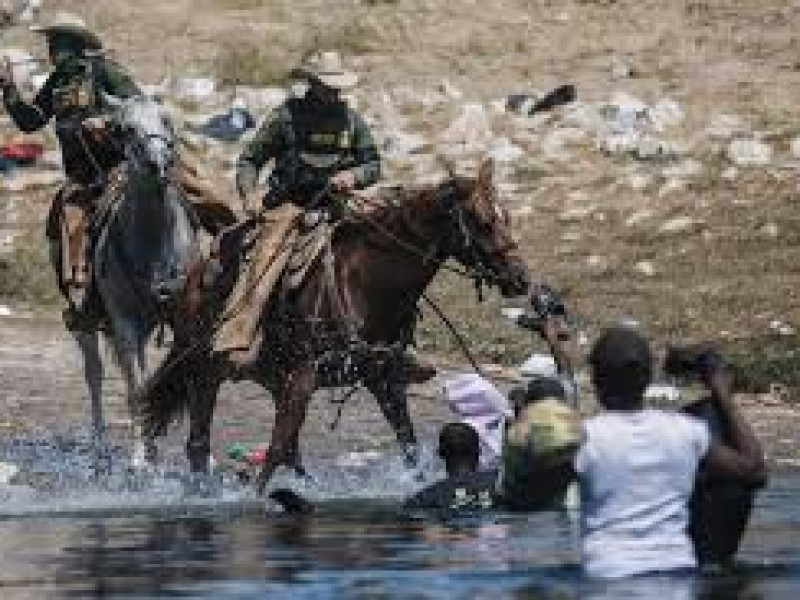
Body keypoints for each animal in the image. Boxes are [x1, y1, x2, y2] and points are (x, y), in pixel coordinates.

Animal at [142, 159, 532, 492]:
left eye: (507, 217)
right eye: (482, 221)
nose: (520, 278)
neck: (365, 282)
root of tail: (188, 280)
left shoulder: (383, 378)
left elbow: (408, 444)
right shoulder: (305, 373)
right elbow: (276, 447)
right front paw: (255, 498)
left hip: (270, 376)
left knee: (289, 449)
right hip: (205, 371)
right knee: (200, 443)